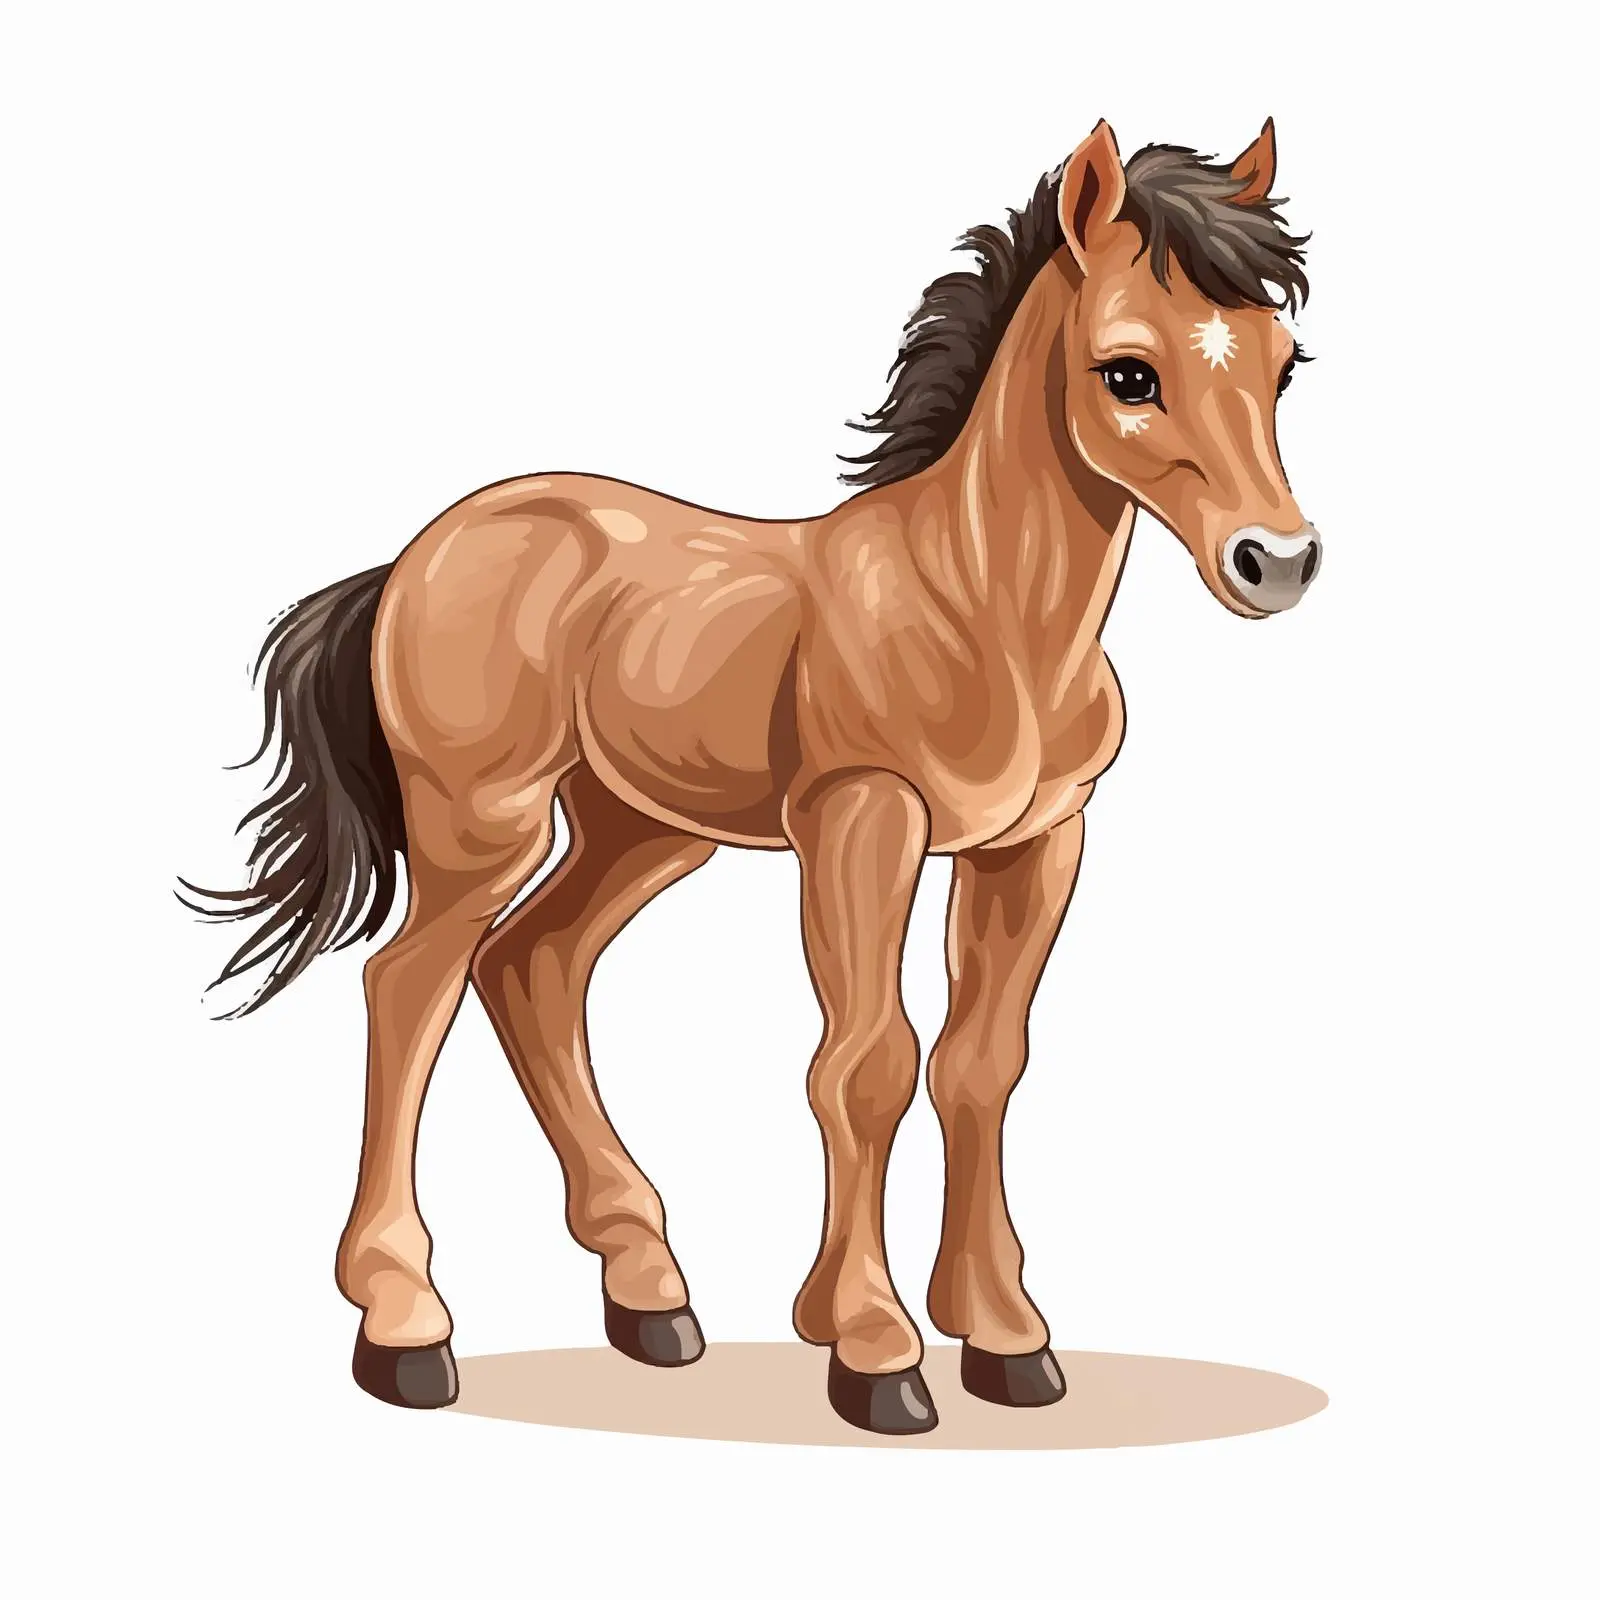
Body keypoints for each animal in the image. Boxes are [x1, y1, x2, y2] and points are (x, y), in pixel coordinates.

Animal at [186, 118, 1318, 1436]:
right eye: (1127, 373)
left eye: (1282, 366)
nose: (1276, 561)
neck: (976, 607)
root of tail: (420, 551)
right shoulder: (861, 821)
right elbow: (866, 1063)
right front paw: (875, 1350)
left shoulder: (1035, 841)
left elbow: (982, 1061)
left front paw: (1002, 1337)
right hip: (485, 821)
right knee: (410, 983)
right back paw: (407, 1321)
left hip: (642, 827)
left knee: (533, 965)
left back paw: (649, 1292)